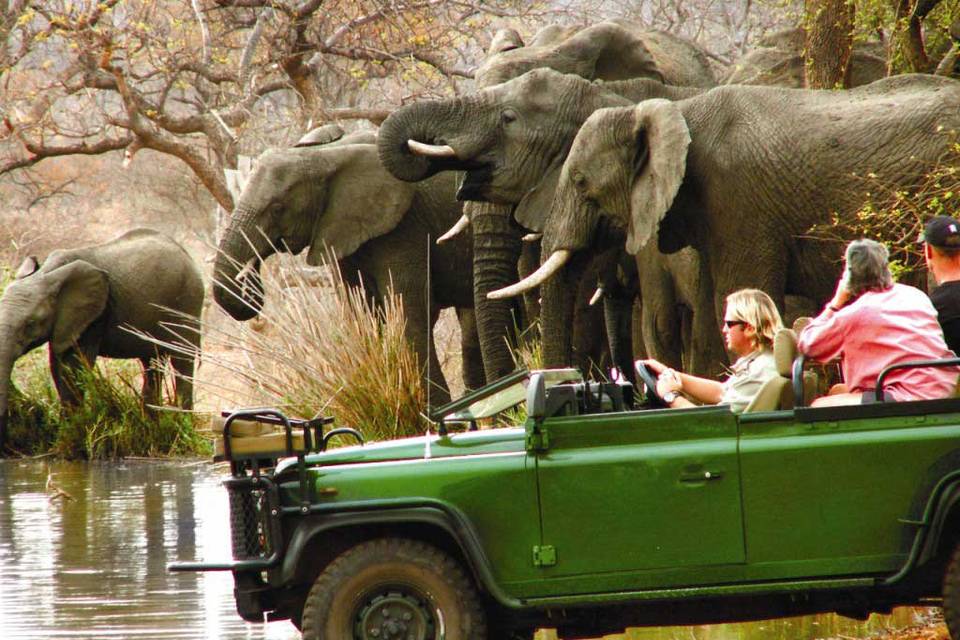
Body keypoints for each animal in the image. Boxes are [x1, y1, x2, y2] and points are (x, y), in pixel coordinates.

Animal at [0, 230, 202, 450]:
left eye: (30, 323)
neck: (47, 272)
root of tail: (186, 254)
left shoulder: (94, 317)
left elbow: (73, 368)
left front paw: (67, 442)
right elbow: (57, 365)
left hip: (188, 302)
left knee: (181, 361)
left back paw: (182, 429)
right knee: (152, 363)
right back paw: (152, 426)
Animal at [210, 134, 480, 410]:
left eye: (277, 208)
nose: (252, 289)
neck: (324, 155)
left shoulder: (405, 228)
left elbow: (408, 316)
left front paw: (435, 413)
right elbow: (361, 315)